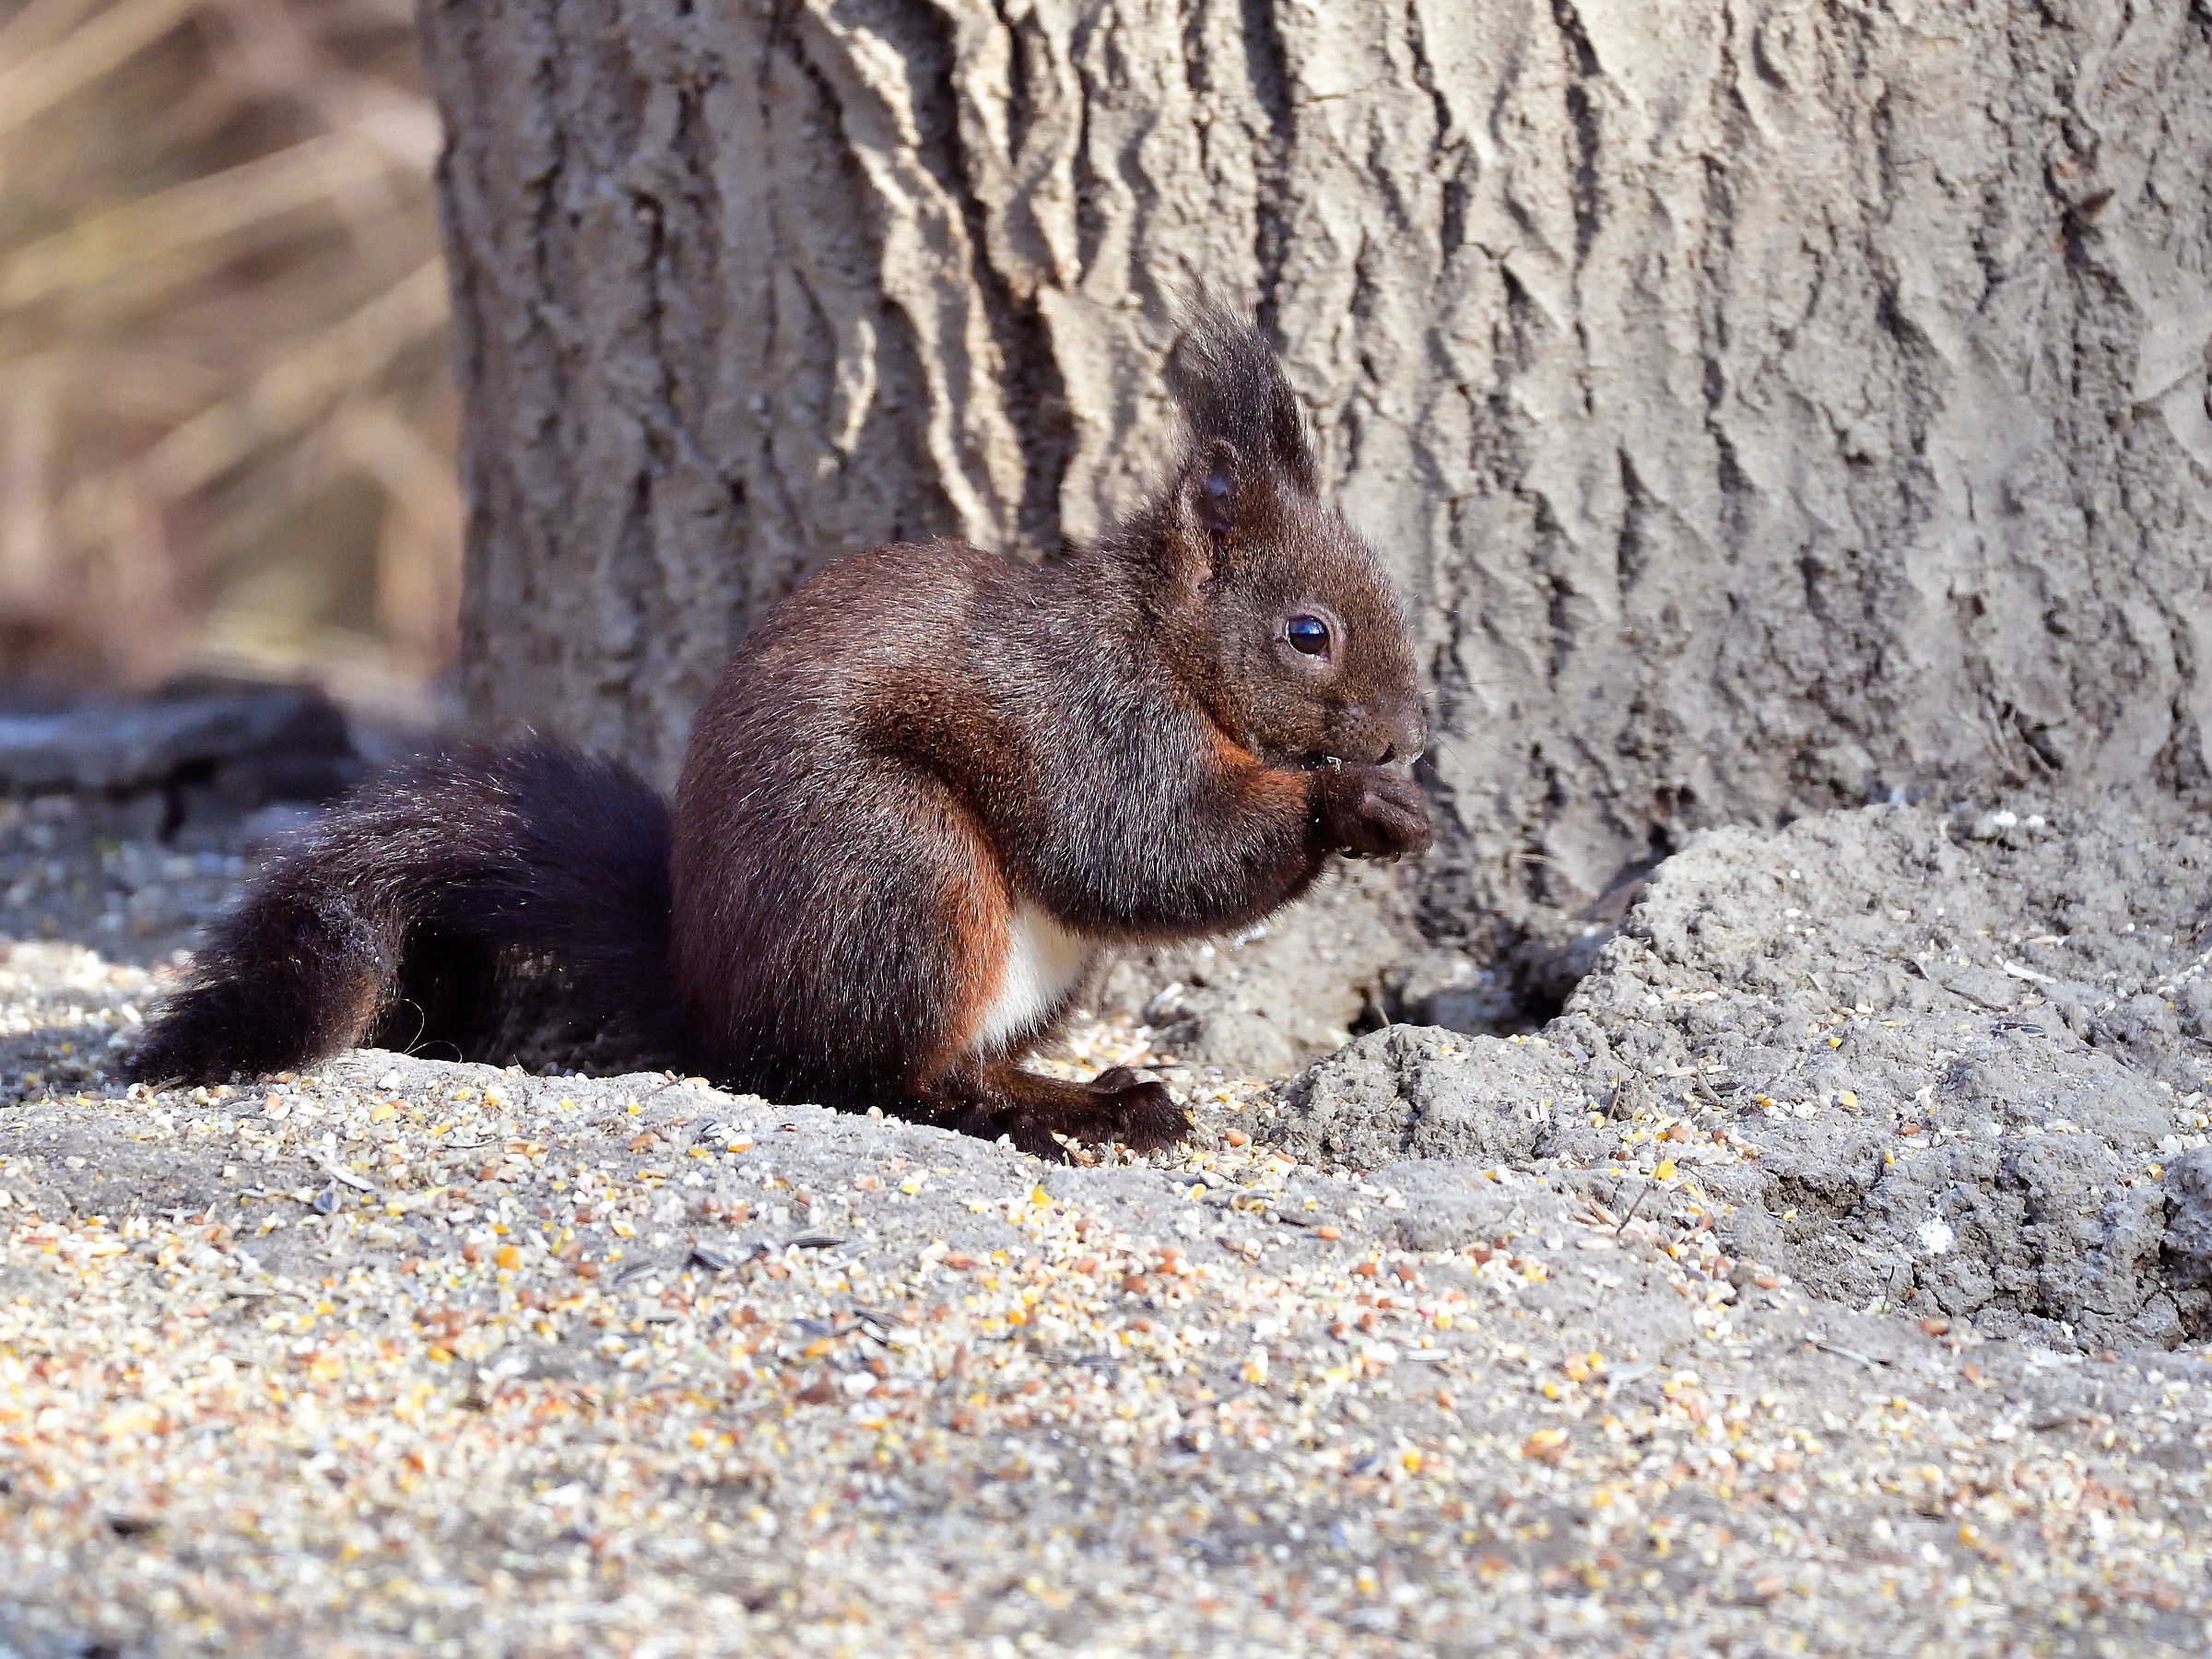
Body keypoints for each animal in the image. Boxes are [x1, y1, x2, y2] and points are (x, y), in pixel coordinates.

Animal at [123, 306, 1431, 1156]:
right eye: (1309, 632)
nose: (1407, 738)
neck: (1160, 640)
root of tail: (708, 1000)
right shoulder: (1091, 717)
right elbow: (1144, 850)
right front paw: (1349, 806)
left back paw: (1094, 1095)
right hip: (902, 873)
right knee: (869, 1077)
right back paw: (1027, 1116)